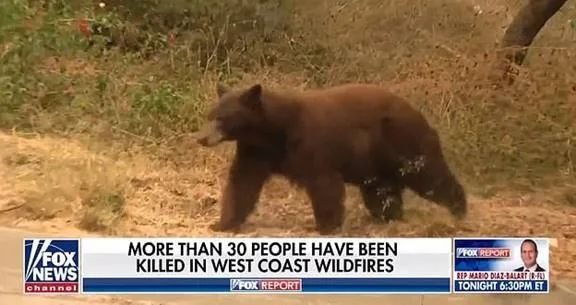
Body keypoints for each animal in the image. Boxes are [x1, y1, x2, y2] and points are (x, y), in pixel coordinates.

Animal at [196, 82, 466, 234]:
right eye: (210, 115)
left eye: (221, 118)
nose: (201, 138)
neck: (274, 130)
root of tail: (419, 113)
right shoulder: (255, 150)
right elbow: (243, 181)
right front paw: (223, 223)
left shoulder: (312, 145)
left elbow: (323, 182)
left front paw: (326, 226)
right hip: (374, 162)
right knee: (381, 191)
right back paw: (388, 216)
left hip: (403, 141)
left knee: (429, 175)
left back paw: (459, 209)